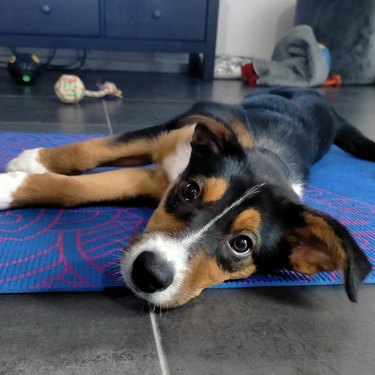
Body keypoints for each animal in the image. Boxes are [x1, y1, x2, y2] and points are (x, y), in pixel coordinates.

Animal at [1, 88, 374, 308]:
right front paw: (27, 166)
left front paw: (14, 183)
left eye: (242, 244)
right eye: (191, 191)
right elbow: (90, 151)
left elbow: (79, 188)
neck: (269, 155)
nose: (148, 273)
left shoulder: (154, 179)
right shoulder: (167, 141)